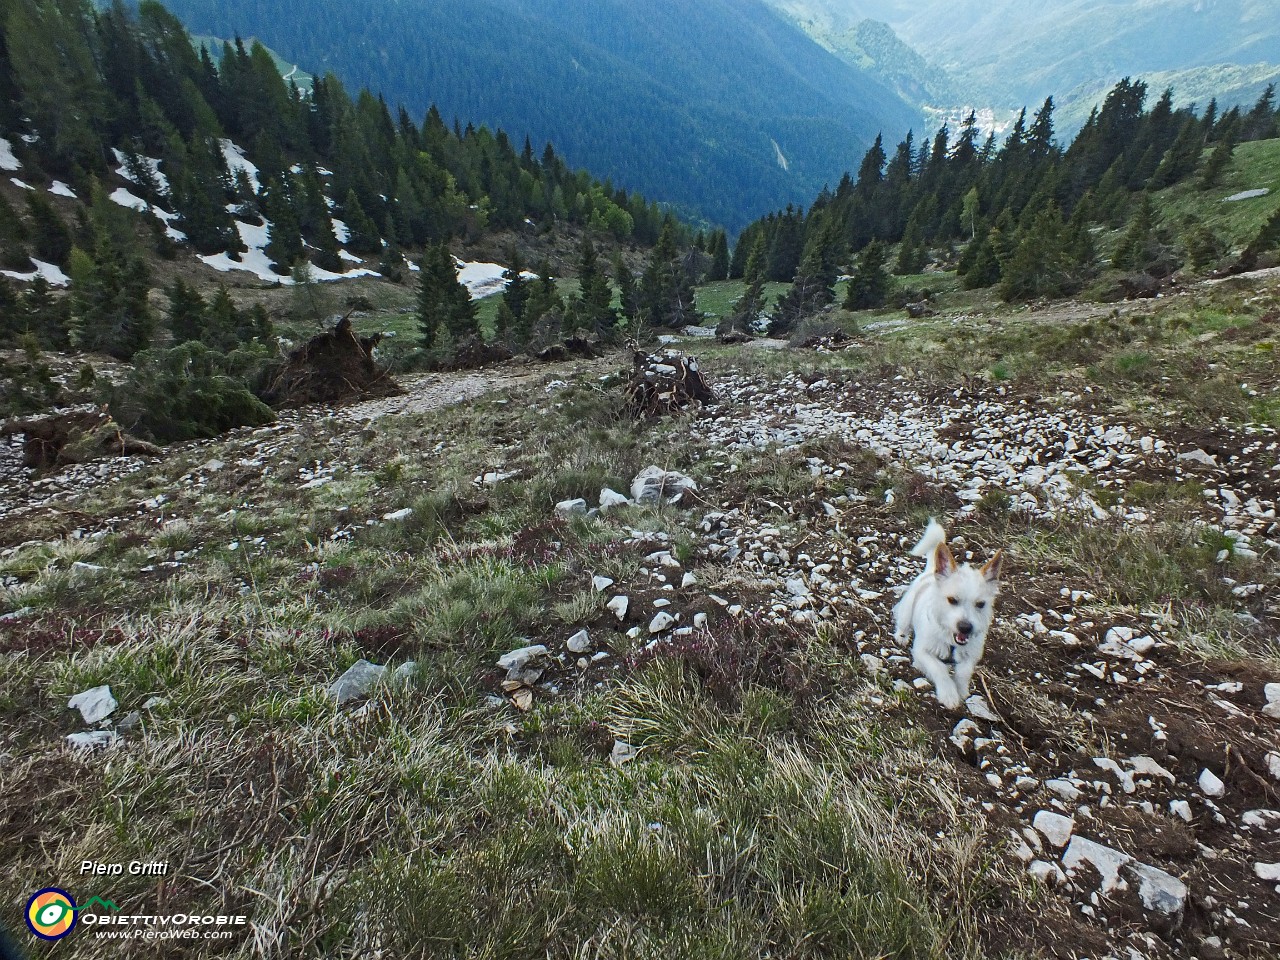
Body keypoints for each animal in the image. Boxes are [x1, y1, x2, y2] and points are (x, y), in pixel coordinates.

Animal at [890, 522, 998, 711]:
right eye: (952, 600)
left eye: (980, 604)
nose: (965, 627)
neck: (950, 640)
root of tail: (930, 572)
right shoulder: (922, 651)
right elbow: (938, 668)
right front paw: (949, 694)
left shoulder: (970, 655)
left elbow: (964, 671)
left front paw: (960, 689)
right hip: (906, 612)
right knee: (903, 625)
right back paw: (901, 637)